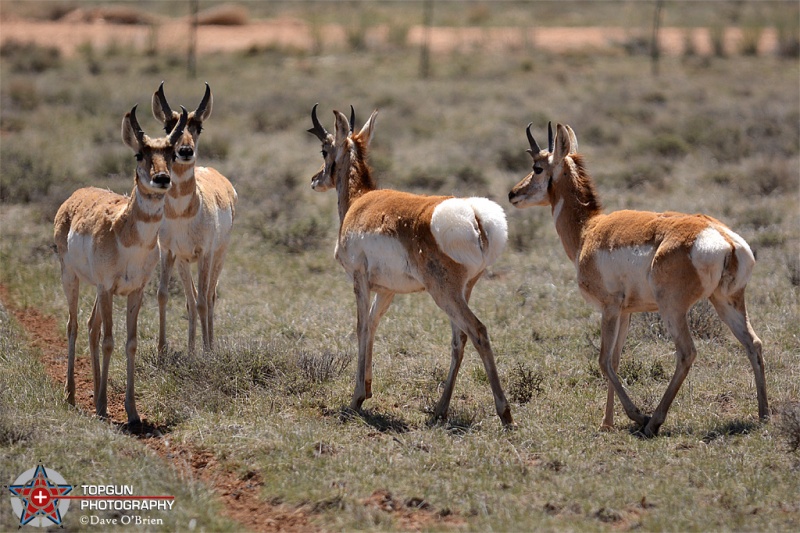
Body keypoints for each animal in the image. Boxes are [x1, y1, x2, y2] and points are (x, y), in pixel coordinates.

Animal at [54, 104, 189, 422]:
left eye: (171, 153)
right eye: (139, 153)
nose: (162, 179)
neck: (127, 236)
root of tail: (75, 195)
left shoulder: (133, 292)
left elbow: (130, 343)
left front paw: (132, 411)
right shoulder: (107, 288)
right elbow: (109, 340)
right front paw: (104, 407)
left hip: (97, 290)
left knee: (90, 326)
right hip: (71, 278)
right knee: (73, 325)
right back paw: (71, 395)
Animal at [150, 81, 236, 352]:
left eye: (198, 127)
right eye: (168, 127)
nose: (185, 151)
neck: (181, 213)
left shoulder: (204, 253)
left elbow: (202, 301)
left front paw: (207, 351)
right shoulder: (169, 252)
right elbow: (163, 295)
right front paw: (162, 349)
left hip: (218, 255)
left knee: (209, 296)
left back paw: (208, 346)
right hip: (184, 262)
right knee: (192, 298)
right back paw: (190, 349)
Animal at [306, 106, 512, 426]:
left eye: (324, 149)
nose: (315, 179)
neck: (360, 201)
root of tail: (474, 213)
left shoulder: (359, 280)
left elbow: (361, 326)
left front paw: (356, 399)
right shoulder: (386, 290)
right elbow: (373, 324)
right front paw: (366, 389)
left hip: (443, 293)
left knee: (478, 331)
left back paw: (504, 413)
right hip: (462, 291)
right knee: (460, 339)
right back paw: (439, 410)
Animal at [506, 121, 768, 436]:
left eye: (537, 167)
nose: (512, 193)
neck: (589, 230)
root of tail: (722, 237)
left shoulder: (609, 308)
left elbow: (603, 360)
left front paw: (635, 416)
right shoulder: (626, 312)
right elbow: (616, 359)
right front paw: (607, 422)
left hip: (672, 309)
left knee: (686, 353)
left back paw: (653, 422)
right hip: (726, 302)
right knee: (753, 343)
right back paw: (764, 414)